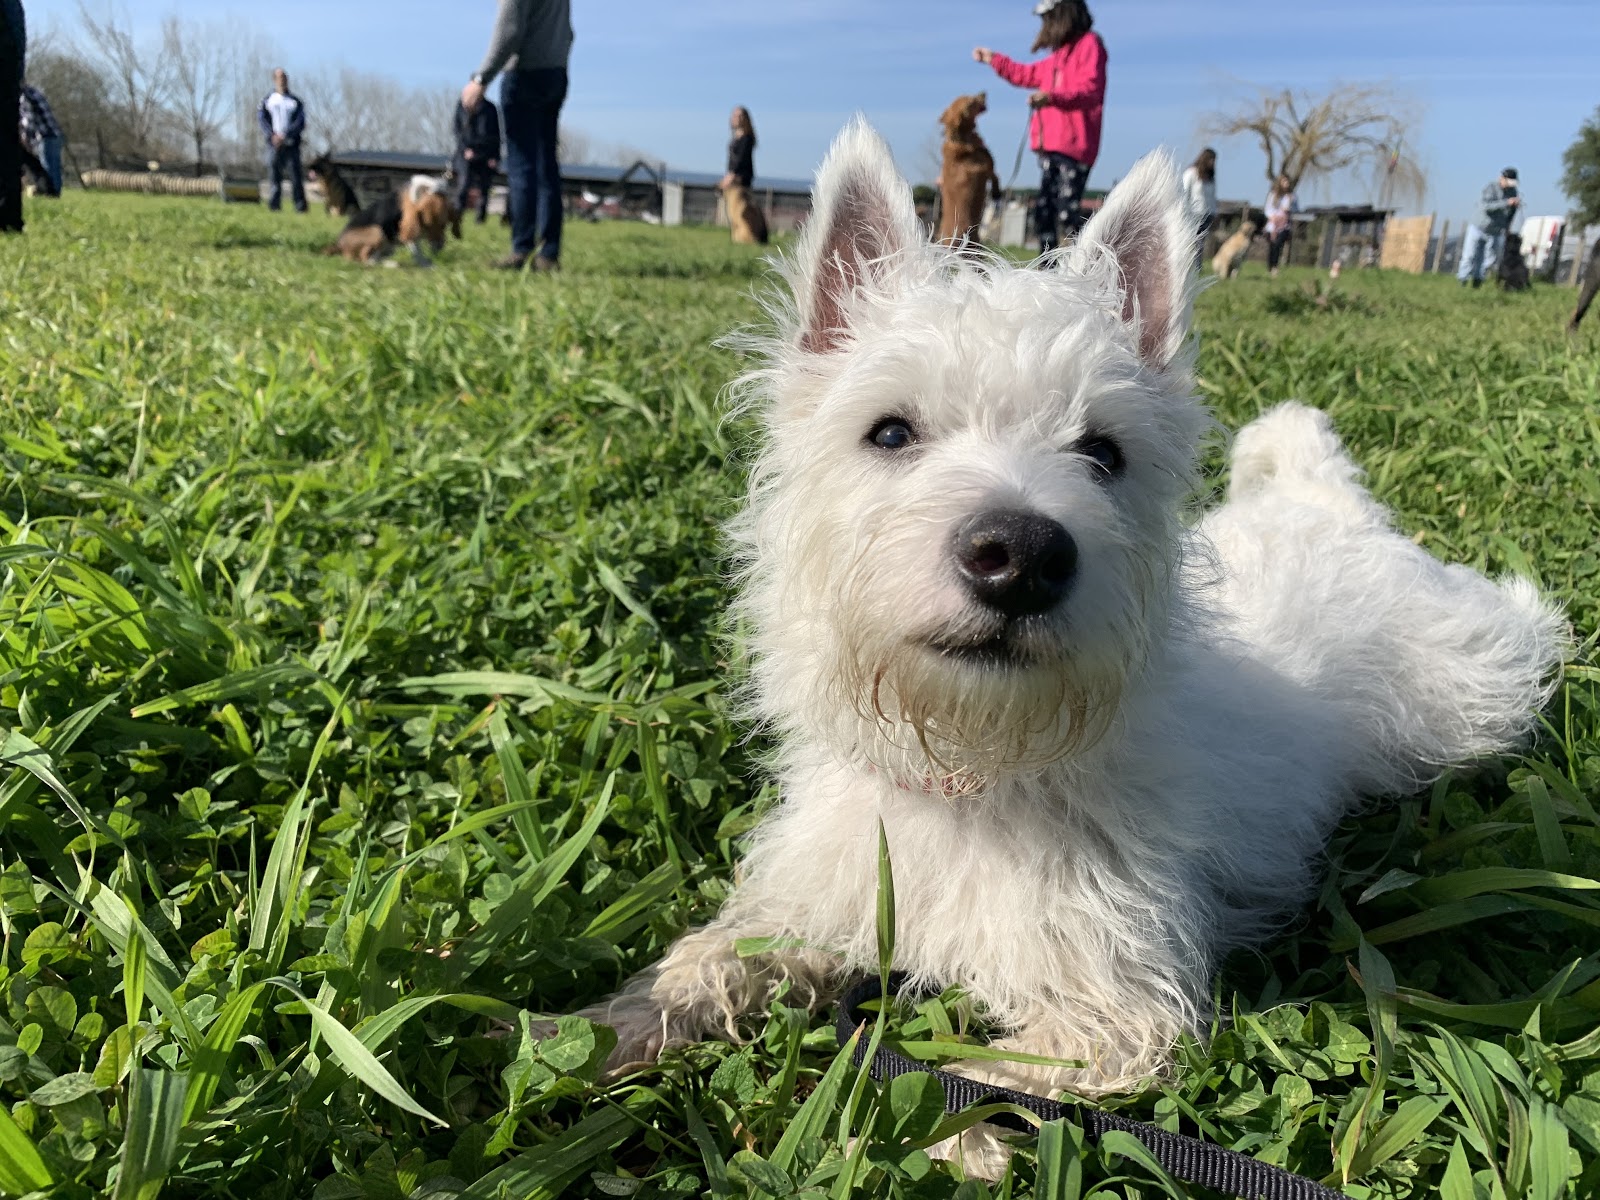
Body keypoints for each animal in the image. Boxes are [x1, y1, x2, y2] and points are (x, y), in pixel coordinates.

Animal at [324, 175, 460, 267]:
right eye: (427, 225)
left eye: (444, 225)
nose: (439, 247)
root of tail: (339, 244)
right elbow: (417, 251)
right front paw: (426, 265)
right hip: (377, 231)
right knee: (366, 258)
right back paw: (391, 264)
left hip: (388, 246)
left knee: (376, 257)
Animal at [566, 120, 1561, 1177]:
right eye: (890, 432)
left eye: (1103, 453)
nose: (1021, 556)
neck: (971, 772)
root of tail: (1330, 504)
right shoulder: (815, 901)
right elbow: (709, 961)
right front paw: (583, 1037)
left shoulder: (1120, 1006)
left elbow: (960, 1070)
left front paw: (935, 1136)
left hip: (1470, 689)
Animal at [934, 92, 998, 249]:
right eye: (971, 102)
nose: (984, 92)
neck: (961, 138)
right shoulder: (984, 168)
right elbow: (995, 174)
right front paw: (996, 192)